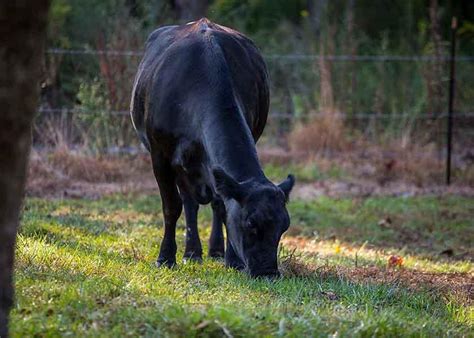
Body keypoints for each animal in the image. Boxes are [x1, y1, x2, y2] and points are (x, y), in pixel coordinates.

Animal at [130, 18, 292, 278]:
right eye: (250, 223)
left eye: (284, 226)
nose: (268, 272)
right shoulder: (160, 155)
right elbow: (171, 207)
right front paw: (165, 258)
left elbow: (223, 206)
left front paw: (232, 260)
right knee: (189, 203)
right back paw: (192, 252)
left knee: (211, 202)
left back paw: (213, 250)